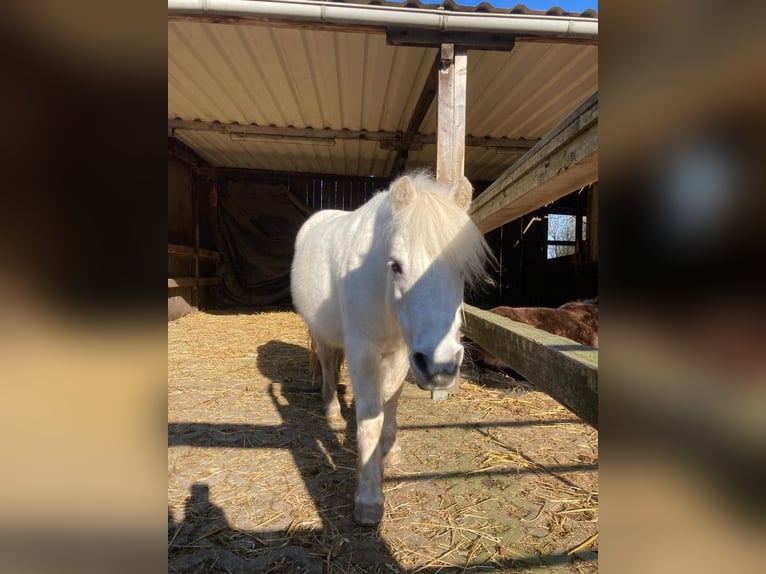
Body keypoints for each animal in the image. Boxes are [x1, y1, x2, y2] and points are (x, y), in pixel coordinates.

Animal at [290, 172, 493, 525]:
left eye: (462, 270)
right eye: (396, 265)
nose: (441, 368)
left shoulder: (403, 353)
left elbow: (391, 402)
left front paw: (390, 451)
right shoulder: (363, 351)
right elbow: (371, 415)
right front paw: (369, 500)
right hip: (322, 334)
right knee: (328, 366)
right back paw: (331, 410)